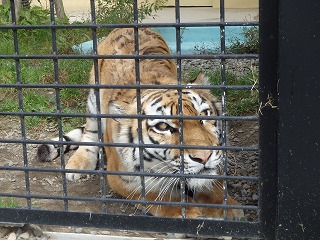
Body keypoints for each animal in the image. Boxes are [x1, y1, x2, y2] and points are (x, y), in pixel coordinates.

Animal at [37, 27, 242, 219]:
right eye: (163, 127)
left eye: (204, 115)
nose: (204, 157)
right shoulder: (123, 178)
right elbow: (154, 194)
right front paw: (187, 211)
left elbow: (214, 186)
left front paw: (230, 209)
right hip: (93, 99)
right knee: (90, 132)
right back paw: (79, 163)